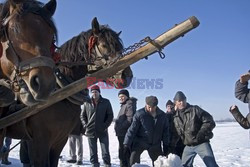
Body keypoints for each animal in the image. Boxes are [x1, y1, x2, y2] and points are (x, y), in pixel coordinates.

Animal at [1, 11, 133, 167]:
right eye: (104, 45)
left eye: (120, 46)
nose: (127, 76)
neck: (59, 92)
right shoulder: (40, 140)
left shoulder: (60, 139)